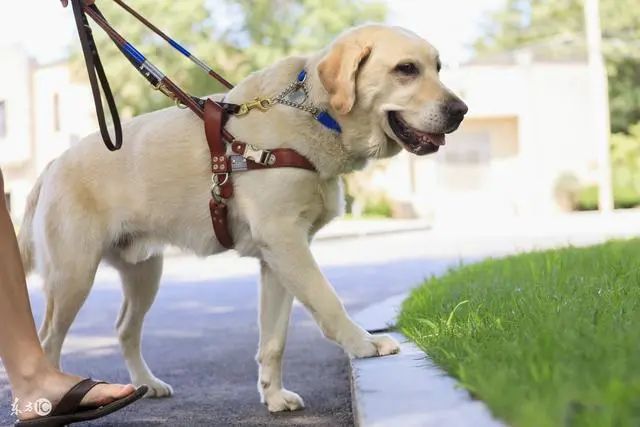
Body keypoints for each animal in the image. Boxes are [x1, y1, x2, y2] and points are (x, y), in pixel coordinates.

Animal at [18, 25, 464, 412]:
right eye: (406, 69)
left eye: (438, 67)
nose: (461, 110)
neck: (317, 114)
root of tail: (52, 165)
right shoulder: (286, 241)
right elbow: (328, 300)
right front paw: (363, 344)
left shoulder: (278, 259)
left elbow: (275, 338)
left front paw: (273, 395)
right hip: (73, 277)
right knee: (47, 340)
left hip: (144, 273)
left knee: (125, 328)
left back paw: (147, 383)